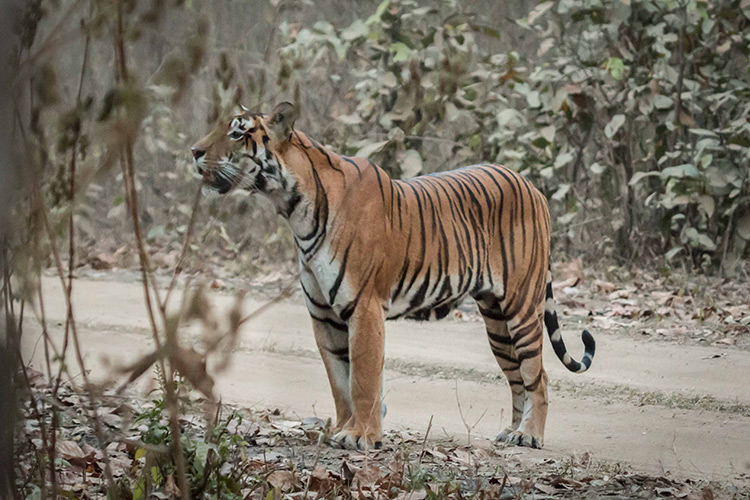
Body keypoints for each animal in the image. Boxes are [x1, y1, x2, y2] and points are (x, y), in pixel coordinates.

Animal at [190, 102, 596, 450]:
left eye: (237, 133)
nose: (193, 151)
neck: (293, 208)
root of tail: (532, 186)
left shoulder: (364, 306)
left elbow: (363, 379)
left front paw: (361, 437)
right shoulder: (323, 316)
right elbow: (339, 382)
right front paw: (343, 430)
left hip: (521, 305)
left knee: (537, 376)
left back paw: (529, 435)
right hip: (496, 319)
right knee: (516, 378)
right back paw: (511, 432)